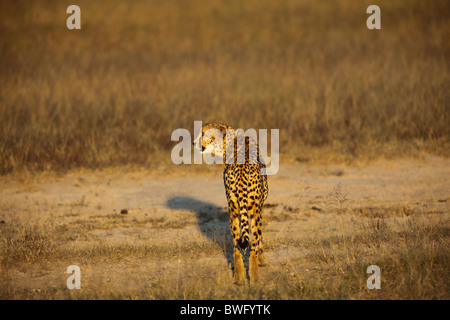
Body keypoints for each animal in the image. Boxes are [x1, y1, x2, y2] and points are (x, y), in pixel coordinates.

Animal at [192, 123, 268, 284]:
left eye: (203, 133)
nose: (194, 143)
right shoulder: (259, 207)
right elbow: (259, 240)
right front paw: (262, 261)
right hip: (253, 211)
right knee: (252, 247)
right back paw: (255, 279)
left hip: (233, 210)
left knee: (236, 247)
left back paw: (239, 278)